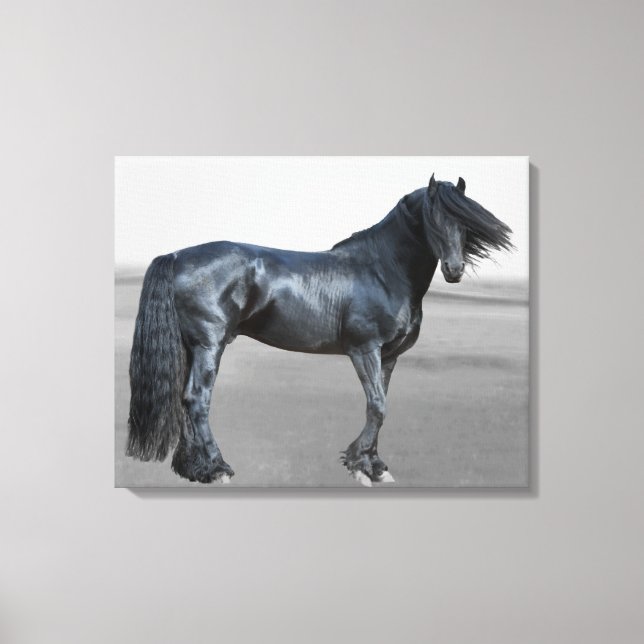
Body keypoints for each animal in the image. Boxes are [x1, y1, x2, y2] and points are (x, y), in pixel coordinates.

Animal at [126, 174, 513, 486]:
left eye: (463, 222)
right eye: (432, 219)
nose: (454, 269)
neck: (382, 269)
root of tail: (176, 257)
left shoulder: (388, 356)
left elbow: (380, 406)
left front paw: (372, 465)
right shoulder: (364, 350)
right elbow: (377, 406)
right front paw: (362, 467)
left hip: (191, 347)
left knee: (184, 399)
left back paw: (195, 470)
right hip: (209, 345)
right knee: (197, 399)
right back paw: (218, 468)